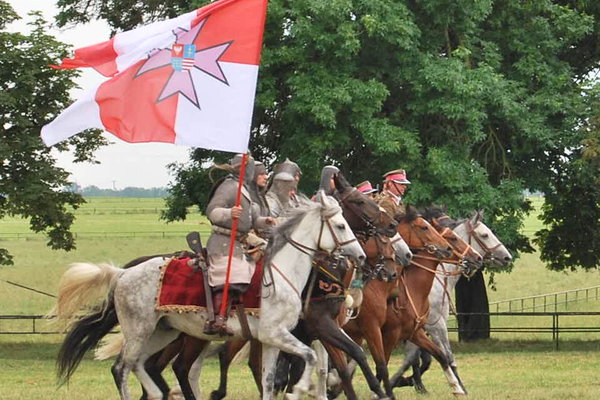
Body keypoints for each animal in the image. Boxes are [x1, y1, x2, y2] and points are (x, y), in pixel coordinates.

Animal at [56, 191, 366, 400]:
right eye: (341, 225)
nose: (360, 255)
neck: (282, 273)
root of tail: (122, 274)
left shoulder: (272, 340)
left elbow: (269, 381)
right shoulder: (279, 334)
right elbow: (310, 360)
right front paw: (300, 389)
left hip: (164, 331)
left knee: (141, 365)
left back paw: (157, 392)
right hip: (140, 330)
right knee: (122, 368)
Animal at [392, 209, 512, 394]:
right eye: (485, 235)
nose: (507, 257)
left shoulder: (419, 328)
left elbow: (416, 358)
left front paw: (408, 382)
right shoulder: (435, 325)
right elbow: (445, 356)